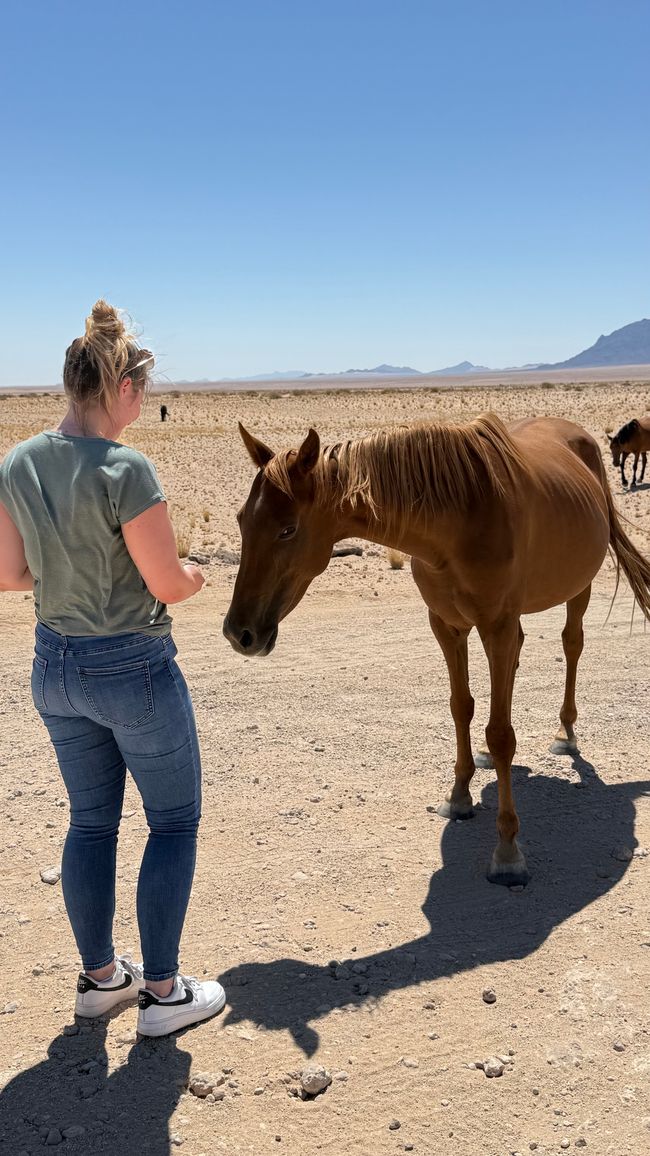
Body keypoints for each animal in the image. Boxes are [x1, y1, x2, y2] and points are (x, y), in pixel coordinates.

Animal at [223, 415, 650, 887]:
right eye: (242, 520)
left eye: (288, 529)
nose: (239, 633)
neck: (459, 519)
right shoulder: (447, 626)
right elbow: (461, 707)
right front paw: (460, 795)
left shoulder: (496, 625)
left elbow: (501, 733)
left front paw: (507, 851)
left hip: (578, 588)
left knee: (572, 644)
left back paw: (565, 733)